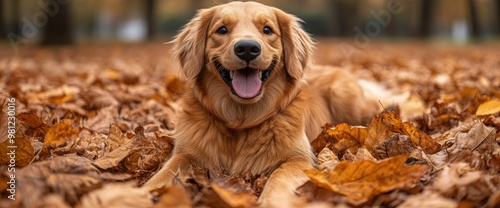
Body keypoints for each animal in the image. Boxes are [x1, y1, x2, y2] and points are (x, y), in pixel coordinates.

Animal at [145, 1, 378, 206]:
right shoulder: (184, 153)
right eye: (222, 30)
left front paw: (273, 200)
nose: (247, 48)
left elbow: (279, 177)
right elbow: (163, 174)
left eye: (267, 30)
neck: (241, 121)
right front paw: (141, 194)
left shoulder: (300, 159)